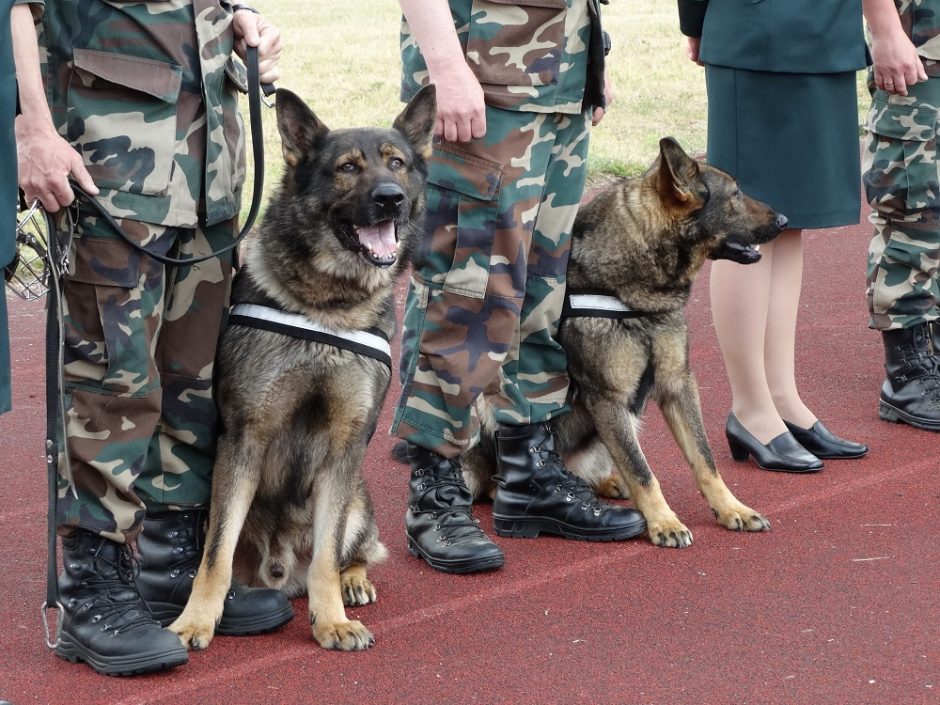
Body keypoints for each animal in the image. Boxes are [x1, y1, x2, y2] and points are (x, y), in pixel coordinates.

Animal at [171, 85, 436, 652]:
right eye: (347, 168)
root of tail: (280, 574)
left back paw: (352, 582)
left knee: (348, 552)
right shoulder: (244, 439)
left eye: (397, 164)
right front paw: (196, 620)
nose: (391, 198)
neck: (328, 308)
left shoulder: (345, 447)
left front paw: (331, 619)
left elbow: (326, 558)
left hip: (356, 495)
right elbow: (215, 555)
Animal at [458, 136, 788, 544]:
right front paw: (664, 522)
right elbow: (643, 471)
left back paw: (603, 483)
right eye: (736, 194)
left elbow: (704, 459)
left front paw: (732, 509)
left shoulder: (677, 385)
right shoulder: (609, 397)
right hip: (487, 406)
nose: (784, 220)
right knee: (493, 477)